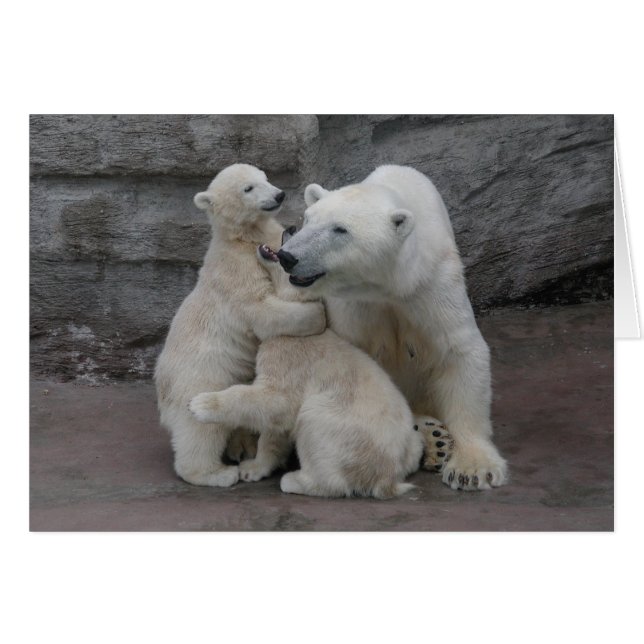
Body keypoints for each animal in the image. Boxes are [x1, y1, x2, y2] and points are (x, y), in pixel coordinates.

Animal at [154, 164, 326, 487]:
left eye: (265, 177)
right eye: (248, 188)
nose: (279, 195)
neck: (243, 238)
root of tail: (162, 389)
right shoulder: (236, 268)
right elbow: (260, 308)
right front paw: (318, 316)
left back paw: (243, 446)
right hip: (200, 376)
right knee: (199, 431)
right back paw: (218, 473)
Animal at [188, 238, 454, 498]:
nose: (289, 229)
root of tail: (388, 477)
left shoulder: (290, 358)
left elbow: (276, 401)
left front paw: (201, 405)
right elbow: (276, 428)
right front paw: (252, 468)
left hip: (344, 433)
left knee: (314, 420)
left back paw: (295, 480)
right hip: (407, 446)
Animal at [275, 165, 508, 491]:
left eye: (340, 229)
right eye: (308, 219)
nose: (287, 256)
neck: (389, 284)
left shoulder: (432, 282)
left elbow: (459, 351)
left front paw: (473, 469)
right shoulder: (355, 305)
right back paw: (432, 435)